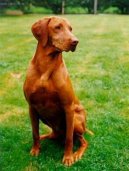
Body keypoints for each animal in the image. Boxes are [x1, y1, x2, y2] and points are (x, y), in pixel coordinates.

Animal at [23, 16, 87, 166]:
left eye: (70, 29)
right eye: (58, 27)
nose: (75, 41)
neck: (46, 67)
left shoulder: (68, 108)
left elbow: (69, 138)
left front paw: (68, 157)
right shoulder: (31, 107)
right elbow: (35, 133)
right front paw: (35, 150)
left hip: (76, 120)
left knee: (82, 140)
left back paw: (77, 154)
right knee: (50, 135)